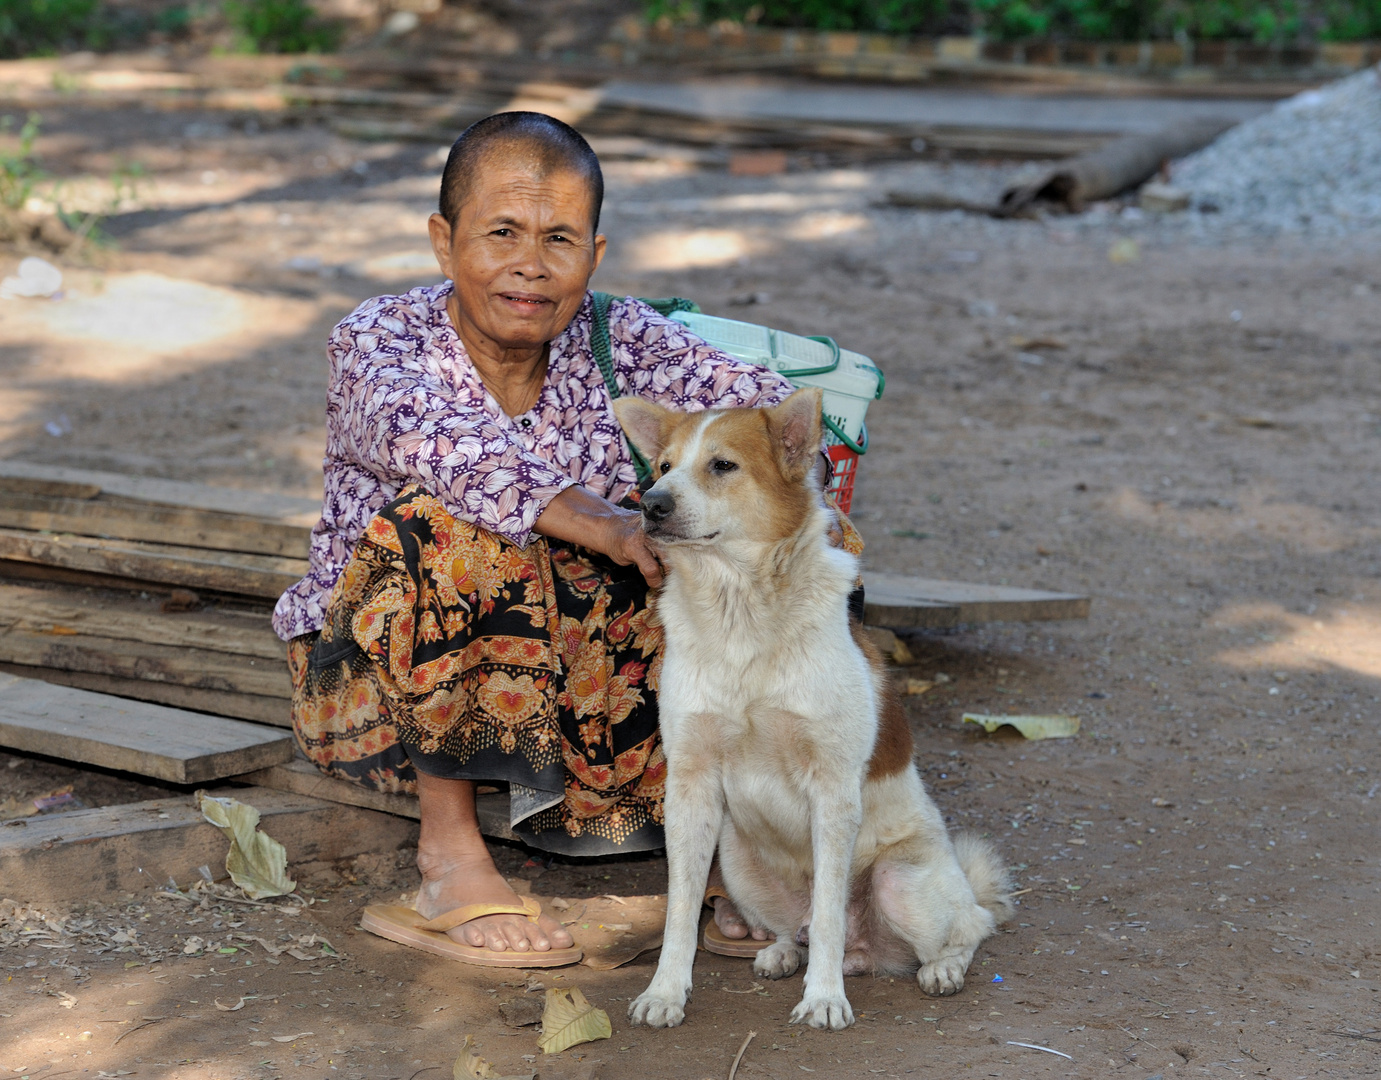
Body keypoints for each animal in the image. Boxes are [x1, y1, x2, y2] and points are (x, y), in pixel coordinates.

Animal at [615, 389, 1016, 1033]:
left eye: (722, 465)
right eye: (663, 466)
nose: (650, 504)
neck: (741, 613)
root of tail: (869, 951)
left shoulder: (832, 790)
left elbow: (829, 916)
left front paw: (824, 998)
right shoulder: (691, 786)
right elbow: (680, 909)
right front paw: (666, 991)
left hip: (900, 880)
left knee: (968, 927)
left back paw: (940, 968)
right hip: (737, 860)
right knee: (795, 927)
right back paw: (780, 952)